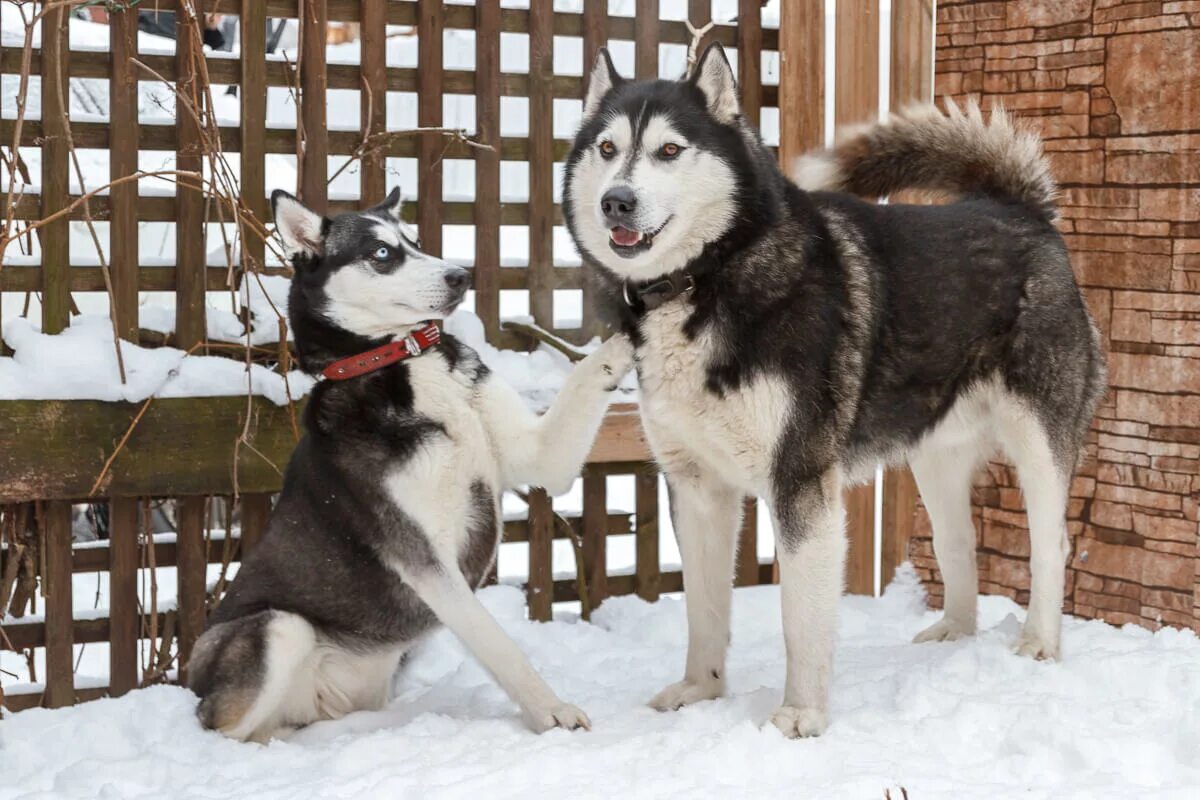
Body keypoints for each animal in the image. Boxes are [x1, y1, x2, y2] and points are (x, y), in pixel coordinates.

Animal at [187, 189, 633, 743]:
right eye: (382, 254)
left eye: (416, 242)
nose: (460, 275)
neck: (402, 359)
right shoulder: (426, 559)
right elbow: (498, 643)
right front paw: (551, 712)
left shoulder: (540, 455)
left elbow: (588, 375)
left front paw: (638, 327)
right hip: (277, 629)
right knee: (222, 724)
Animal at [564, 40, 1104, 734]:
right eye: (607, 148)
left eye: (669, 150)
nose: (617, 201)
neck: (708, 277)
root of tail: (1018, 210)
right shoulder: (695, 484)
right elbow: (704, 610)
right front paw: (699, 691)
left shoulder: (798, 480)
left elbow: (801, 619)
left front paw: (800, 715)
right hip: (934, 456)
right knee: (959, 541)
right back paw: (953, 635)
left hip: (1038, 441)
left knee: (1050, 542)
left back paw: (1038, 642)